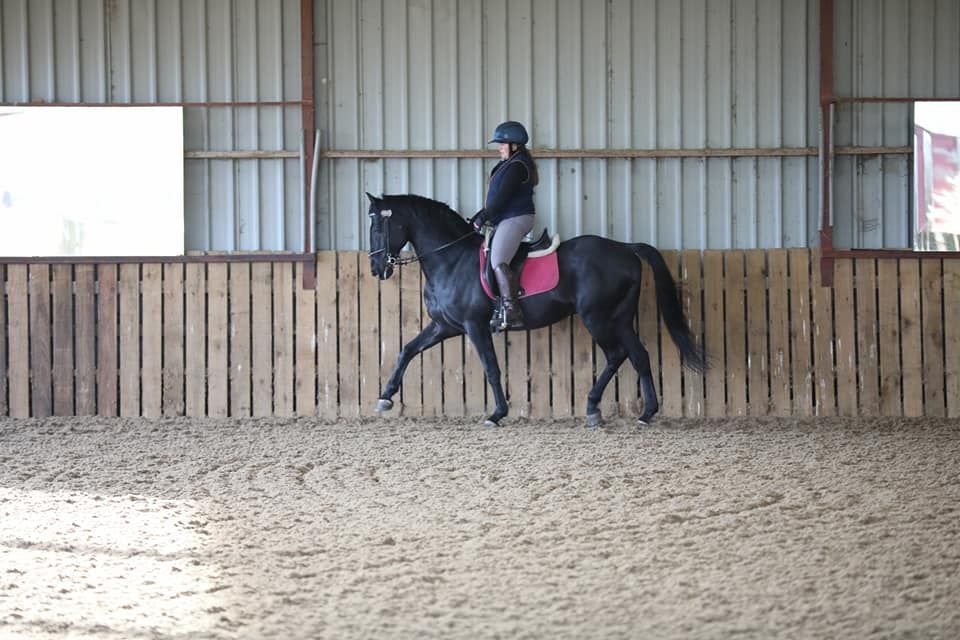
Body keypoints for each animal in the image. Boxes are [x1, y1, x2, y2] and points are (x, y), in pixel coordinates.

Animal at [366, 192, 704, 428]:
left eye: (378, 225)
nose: (375, 268)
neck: (451, 258)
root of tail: (626, 248)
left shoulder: (474, 325)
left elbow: (491, 367)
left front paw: (496, 414)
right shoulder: (445, 325)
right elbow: (408, 349)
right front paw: (385, 397)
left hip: (597, 317)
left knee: (616, 354)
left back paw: (593, 408)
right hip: (620, 318)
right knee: (638, 355)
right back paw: (646, 413)